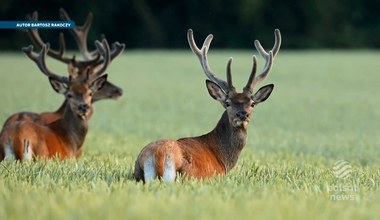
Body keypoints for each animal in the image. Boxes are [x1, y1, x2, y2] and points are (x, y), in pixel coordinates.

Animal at [134, 28, 280, 181]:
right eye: (227, 103)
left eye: (252, 104)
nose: (242, 114)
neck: (222, 157)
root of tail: (156, 158)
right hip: (187, 172)